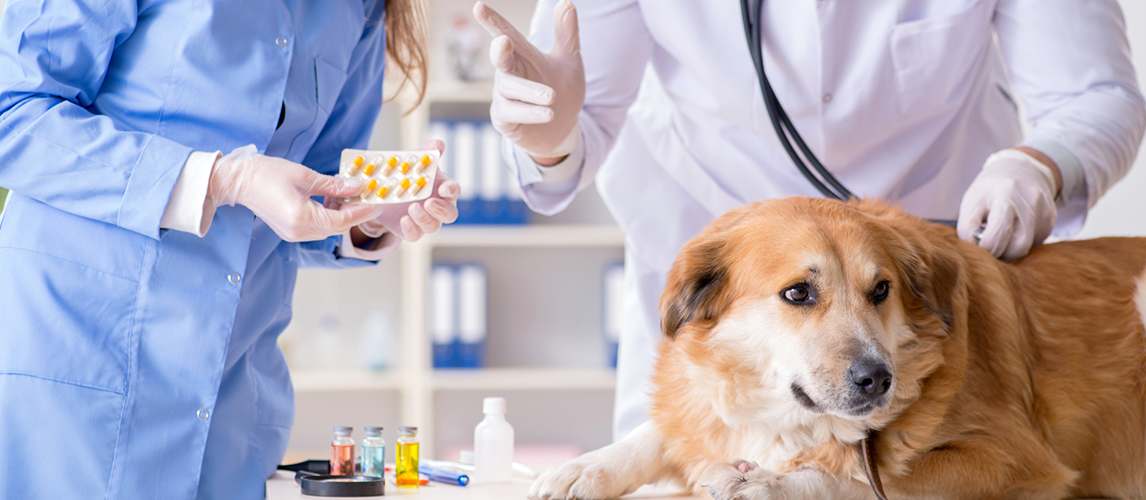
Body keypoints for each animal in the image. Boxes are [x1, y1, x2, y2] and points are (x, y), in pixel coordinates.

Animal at [529, 197, 1146, 497]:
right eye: (798, 292)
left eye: (882, 290)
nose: (877, 379)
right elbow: (661, 428)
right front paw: (580, 469)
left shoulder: (1016, 460)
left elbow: (871, 478)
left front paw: (771, 482)